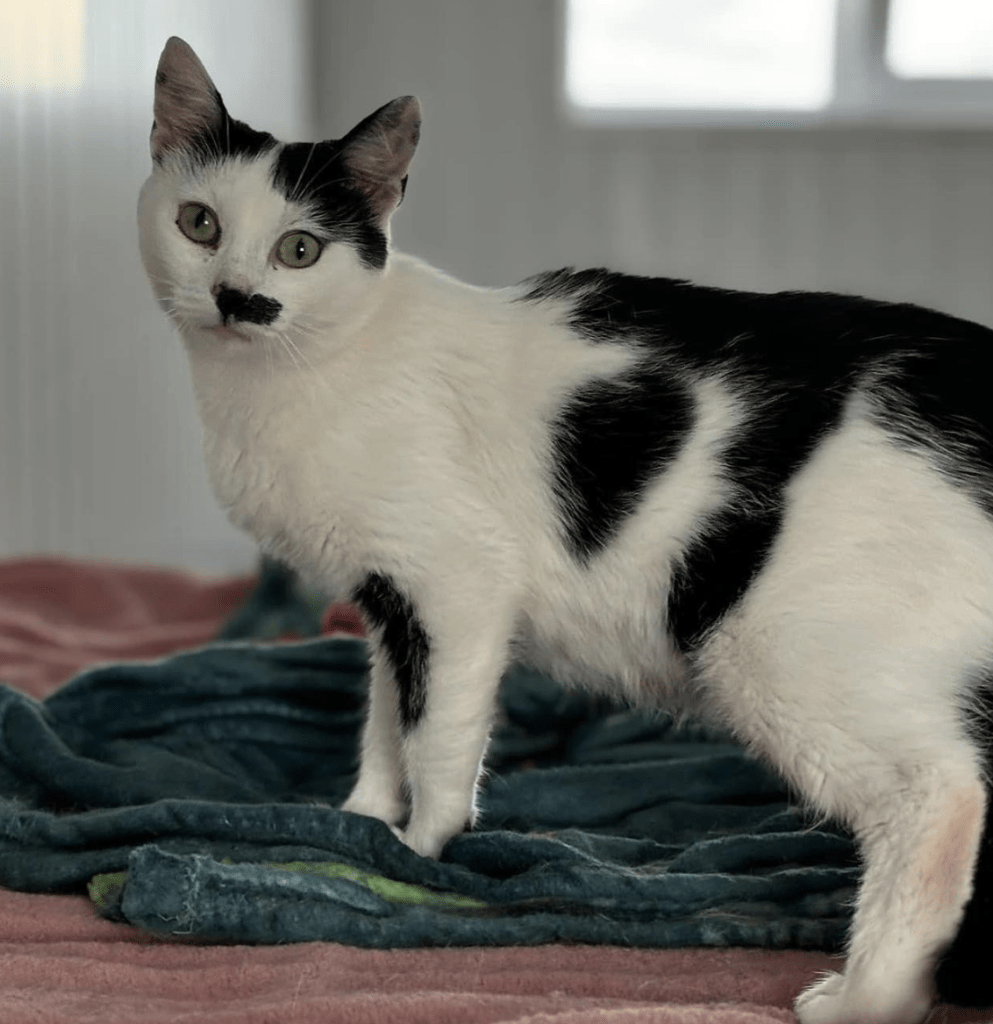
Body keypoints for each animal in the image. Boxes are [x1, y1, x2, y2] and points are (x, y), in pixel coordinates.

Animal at [139, 34, 990, 1024]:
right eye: (199, 224)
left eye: (300, 248)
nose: (237, 296)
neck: (295, 376)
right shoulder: (393, 604)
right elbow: (387, 720)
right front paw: (359, 821)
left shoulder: (457, 585)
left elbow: (439, 738)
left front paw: (419, 856)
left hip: (773, 646)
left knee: (938, 793)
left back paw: (866, 997)